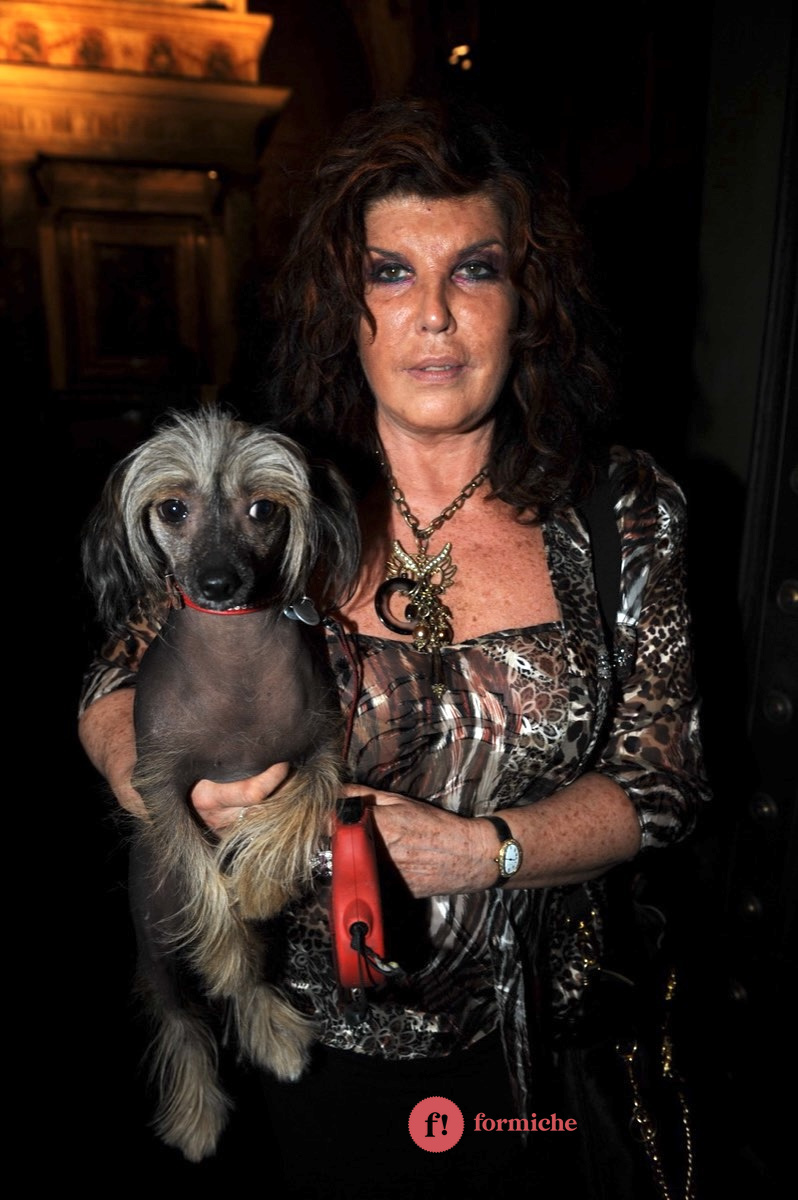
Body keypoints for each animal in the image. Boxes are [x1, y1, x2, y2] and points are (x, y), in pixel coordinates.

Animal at [82, 407, 360, 1162]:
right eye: (174, 509)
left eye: (263, 509)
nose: (215, 584)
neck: (233, 656)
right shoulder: (160, 790)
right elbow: (205, 884)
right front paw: (227, 942)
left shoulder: (322, 746)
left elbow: (300, 804)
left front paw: (259, 881)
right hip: (152, 934)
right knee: (180, 1013)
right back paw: (197, 1114)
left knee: (259, 974)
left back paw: (272, 1030)